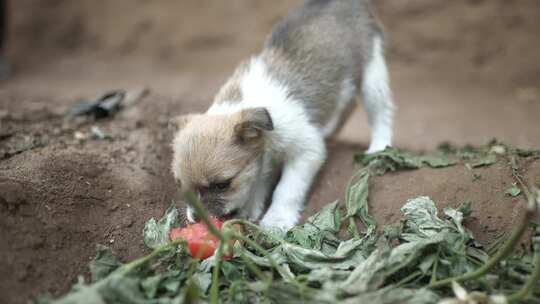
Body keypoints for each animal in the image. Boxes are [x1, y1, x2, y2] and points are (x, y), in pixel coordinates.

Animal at [171, 0, 394, 229]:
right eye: (180, 184)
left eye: (222, 185)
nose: (196, 219)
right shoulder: (265, 158)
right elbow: (260, 180)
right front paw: (251, 208)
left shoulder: (306, 151)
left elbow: (286, 190)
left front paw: (276, 219)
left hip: (372, 76)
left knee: (380, 113)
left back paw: (379, 147)